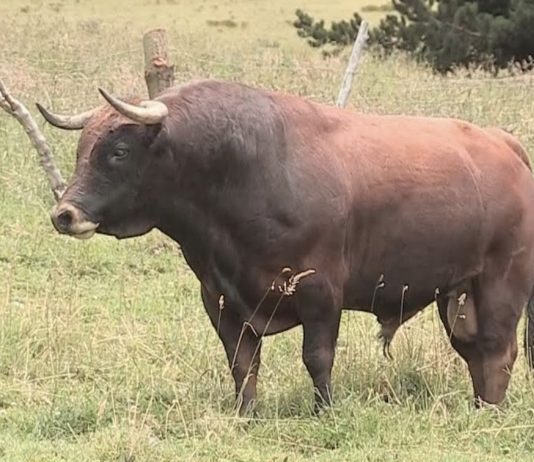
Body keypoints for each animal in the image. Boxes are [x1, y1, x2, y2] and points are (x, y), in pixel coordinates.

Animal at [36, 80, 534, 416]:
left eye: (118, 151)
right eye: (82, 149)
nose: (65, 214)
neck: (244, 169)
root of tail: (503, 142)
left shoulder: (320, 293)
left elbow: (317, 358)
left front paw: (325, 411)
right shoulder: (220, 299)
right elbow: (242, 362)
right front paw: (246, 414)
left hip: (500, 285)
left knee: (497, 350)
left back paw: (490, 411)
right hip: (459, 295)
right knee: (475, 352)